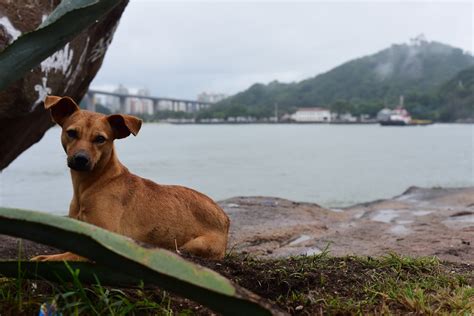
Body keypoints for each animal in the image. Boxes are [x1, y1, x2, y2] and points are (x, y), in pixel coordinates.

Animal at [31, 95, 230, 260]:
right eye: (71, 133)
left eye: (100, 139)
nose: (81, 159)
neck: (95, 183)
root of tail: (225, 217)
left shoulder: (104, 241)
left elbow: (57, 257)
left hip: (194, 245)